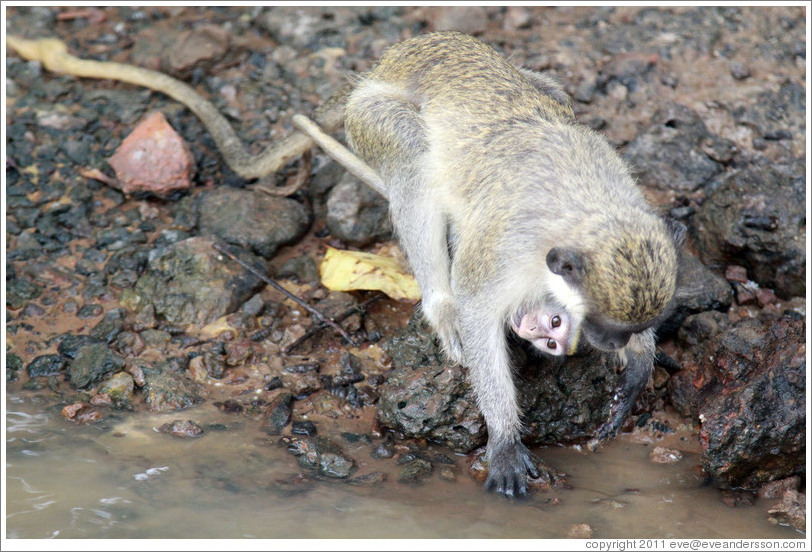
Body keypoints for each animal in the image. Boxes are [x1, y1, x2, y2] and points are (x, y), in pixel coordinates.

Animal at [11, 30, 684, 498]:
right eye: (592, 327)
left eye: (622, 329)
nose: (594, 343)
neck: (585, 212)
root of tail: (396, 60)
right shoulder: (506, 249)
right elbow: (478, 311)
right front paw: (504, 438)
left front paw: (637, 368)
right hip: (374, 120)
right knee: (414, 164)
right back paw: (437, 303)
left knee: (548, 99)